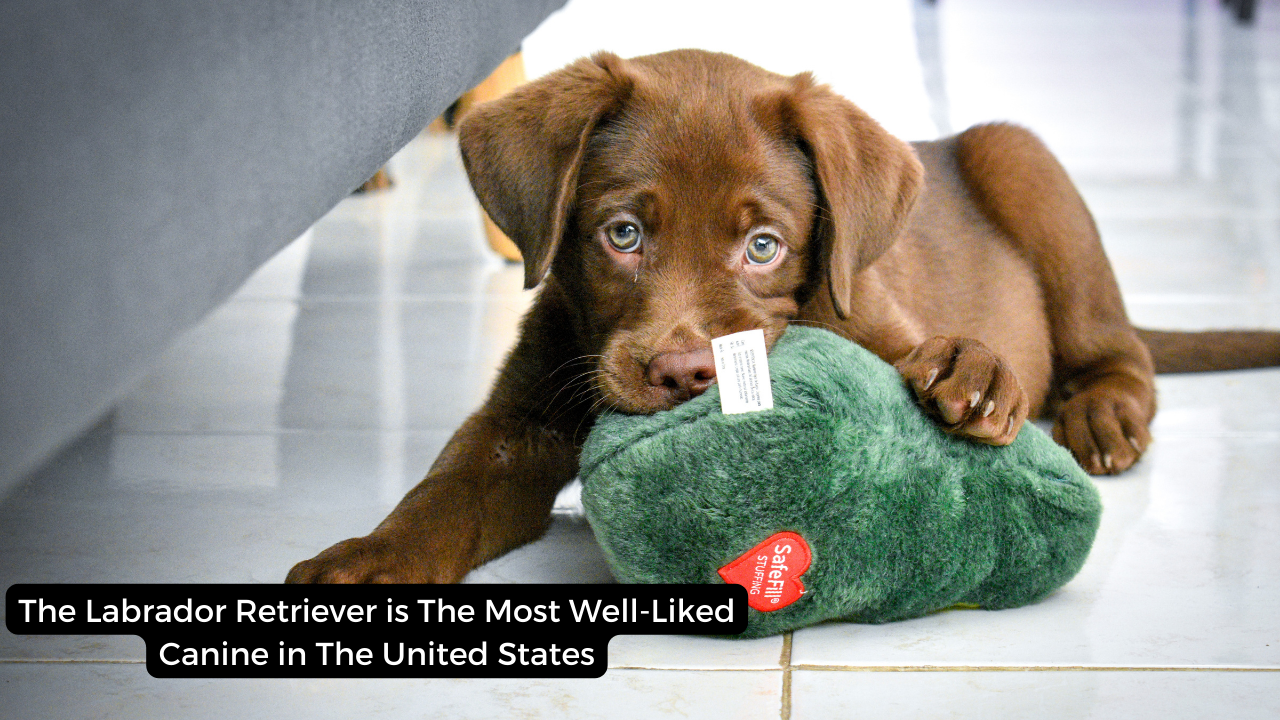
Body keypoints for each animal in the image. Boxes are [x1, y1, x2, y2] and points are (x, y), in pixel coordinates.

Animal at [288, 49, 1280, 584]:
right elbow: (444, 490)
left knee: (1120, 351)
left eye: (763, 245)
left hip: (1025, 162)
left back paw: (1102, 413)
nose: (684, 375)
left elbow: (928, 352)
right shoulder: (518, 421)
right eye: (622, 234)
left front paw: (974, 369)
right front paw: (371, 558)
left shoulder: (879, 317)